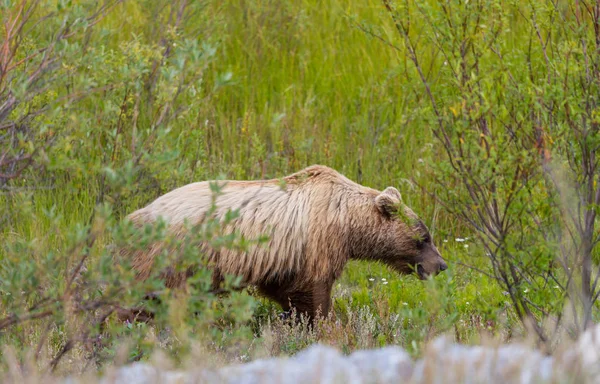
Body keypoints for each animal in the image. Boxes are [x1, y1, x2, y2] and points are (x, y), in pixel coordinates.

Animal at [120, 166, 446, 320]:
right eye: (423, 238)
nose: (441, 265)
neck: (347, 221)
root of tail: (135, 214)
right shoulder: (318, 238)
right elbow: (315, 289)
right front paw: (325, 322)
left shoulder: (286, 256)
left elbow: (285, 288)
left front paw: (294, 318)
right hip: (174, 254)